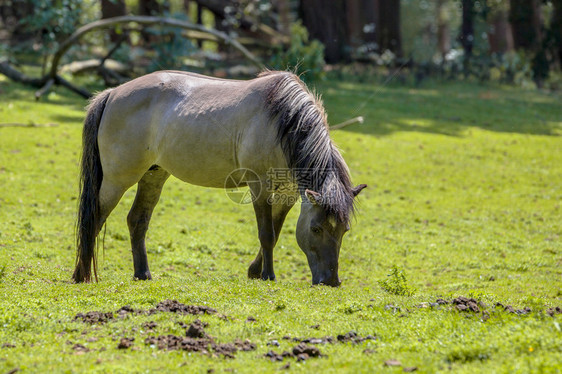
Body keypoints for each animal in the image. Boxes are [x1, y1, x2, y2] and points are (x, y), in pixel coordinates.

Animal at [72, 69, 366, 286]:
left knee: (137, 221)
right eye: (316, 229)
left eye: (344, 230)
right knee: (94, 218)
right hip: (118, 179)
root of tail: (112, 93)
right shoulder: (260, 186)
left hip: (153, 176)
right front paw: (267, 276)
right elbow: (267, 233)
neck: (283, 123)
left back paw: (142, 274)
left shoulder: (289, 193)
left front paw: (254, 271)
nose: (331, 281)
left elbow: (276, 232)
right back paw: (81, 275)